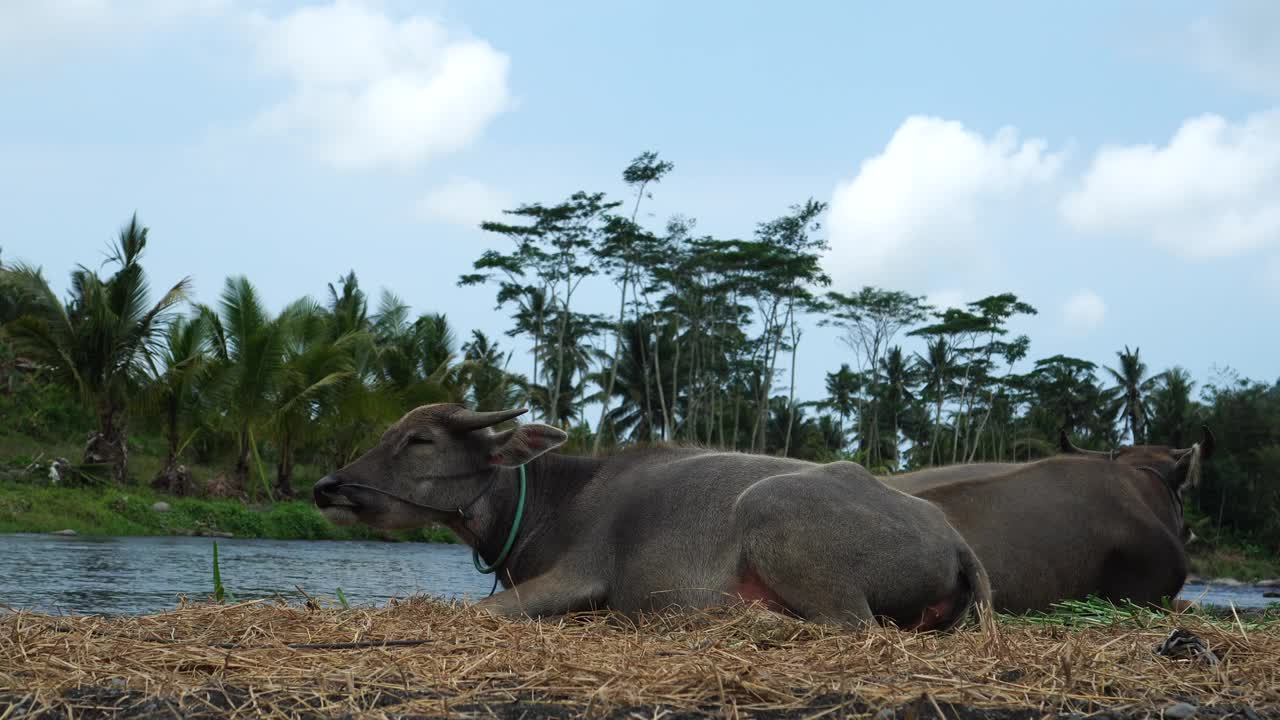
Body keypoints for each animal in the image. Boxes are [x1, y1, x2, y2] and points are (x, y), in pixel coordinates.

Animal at [312, 404, 988, 627]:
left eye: (420, 439)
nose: (327, 486)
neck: (551, 502)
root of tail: (953, 540)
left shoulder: (580, 577)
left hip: (774, 517)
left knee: (849, 625)